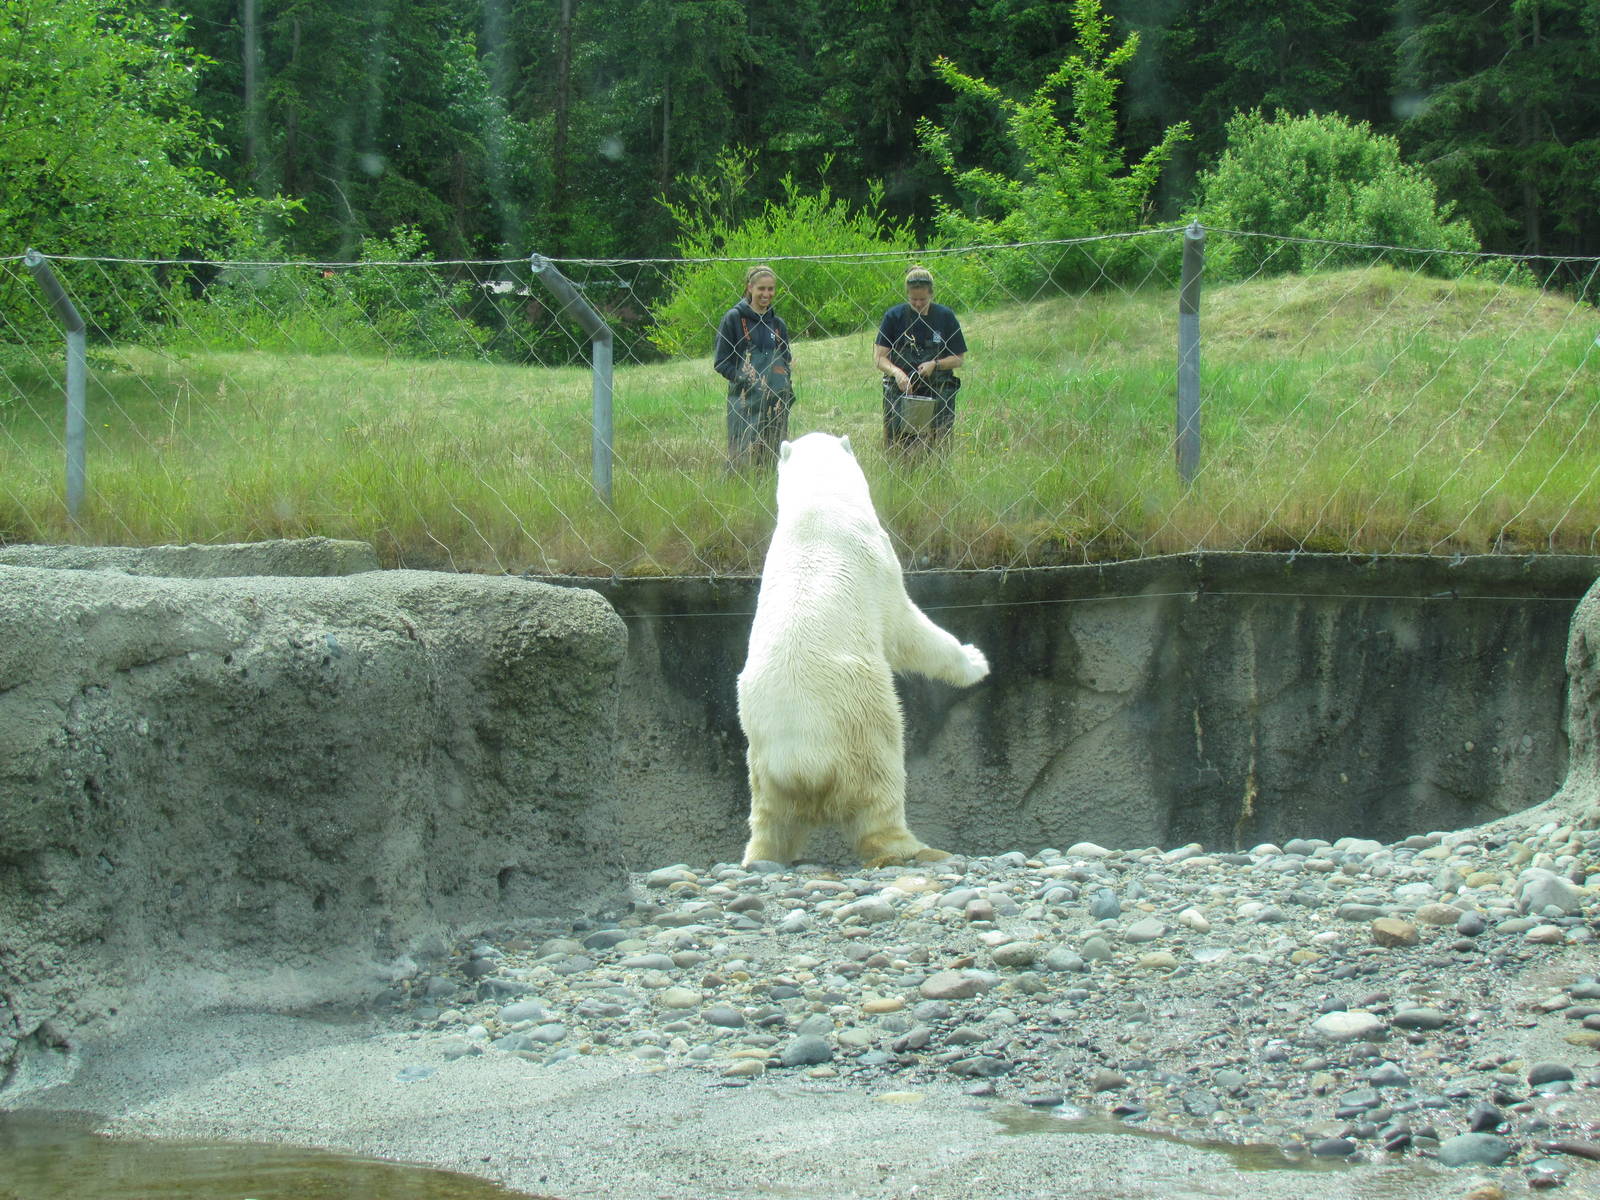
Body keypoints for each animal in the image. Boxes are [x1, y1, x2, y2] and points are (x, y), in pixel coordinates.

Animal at [736, 432, 990, 868]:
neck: (818, 501)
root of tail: (801, 763)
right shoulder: (878, 559)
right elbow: (906, 629)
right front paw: (975, 660)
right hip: (861, 723)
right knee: (880, 791)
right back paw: (911, 848)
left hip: (762, 766)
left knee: (771, 824)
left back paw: (760, 858)